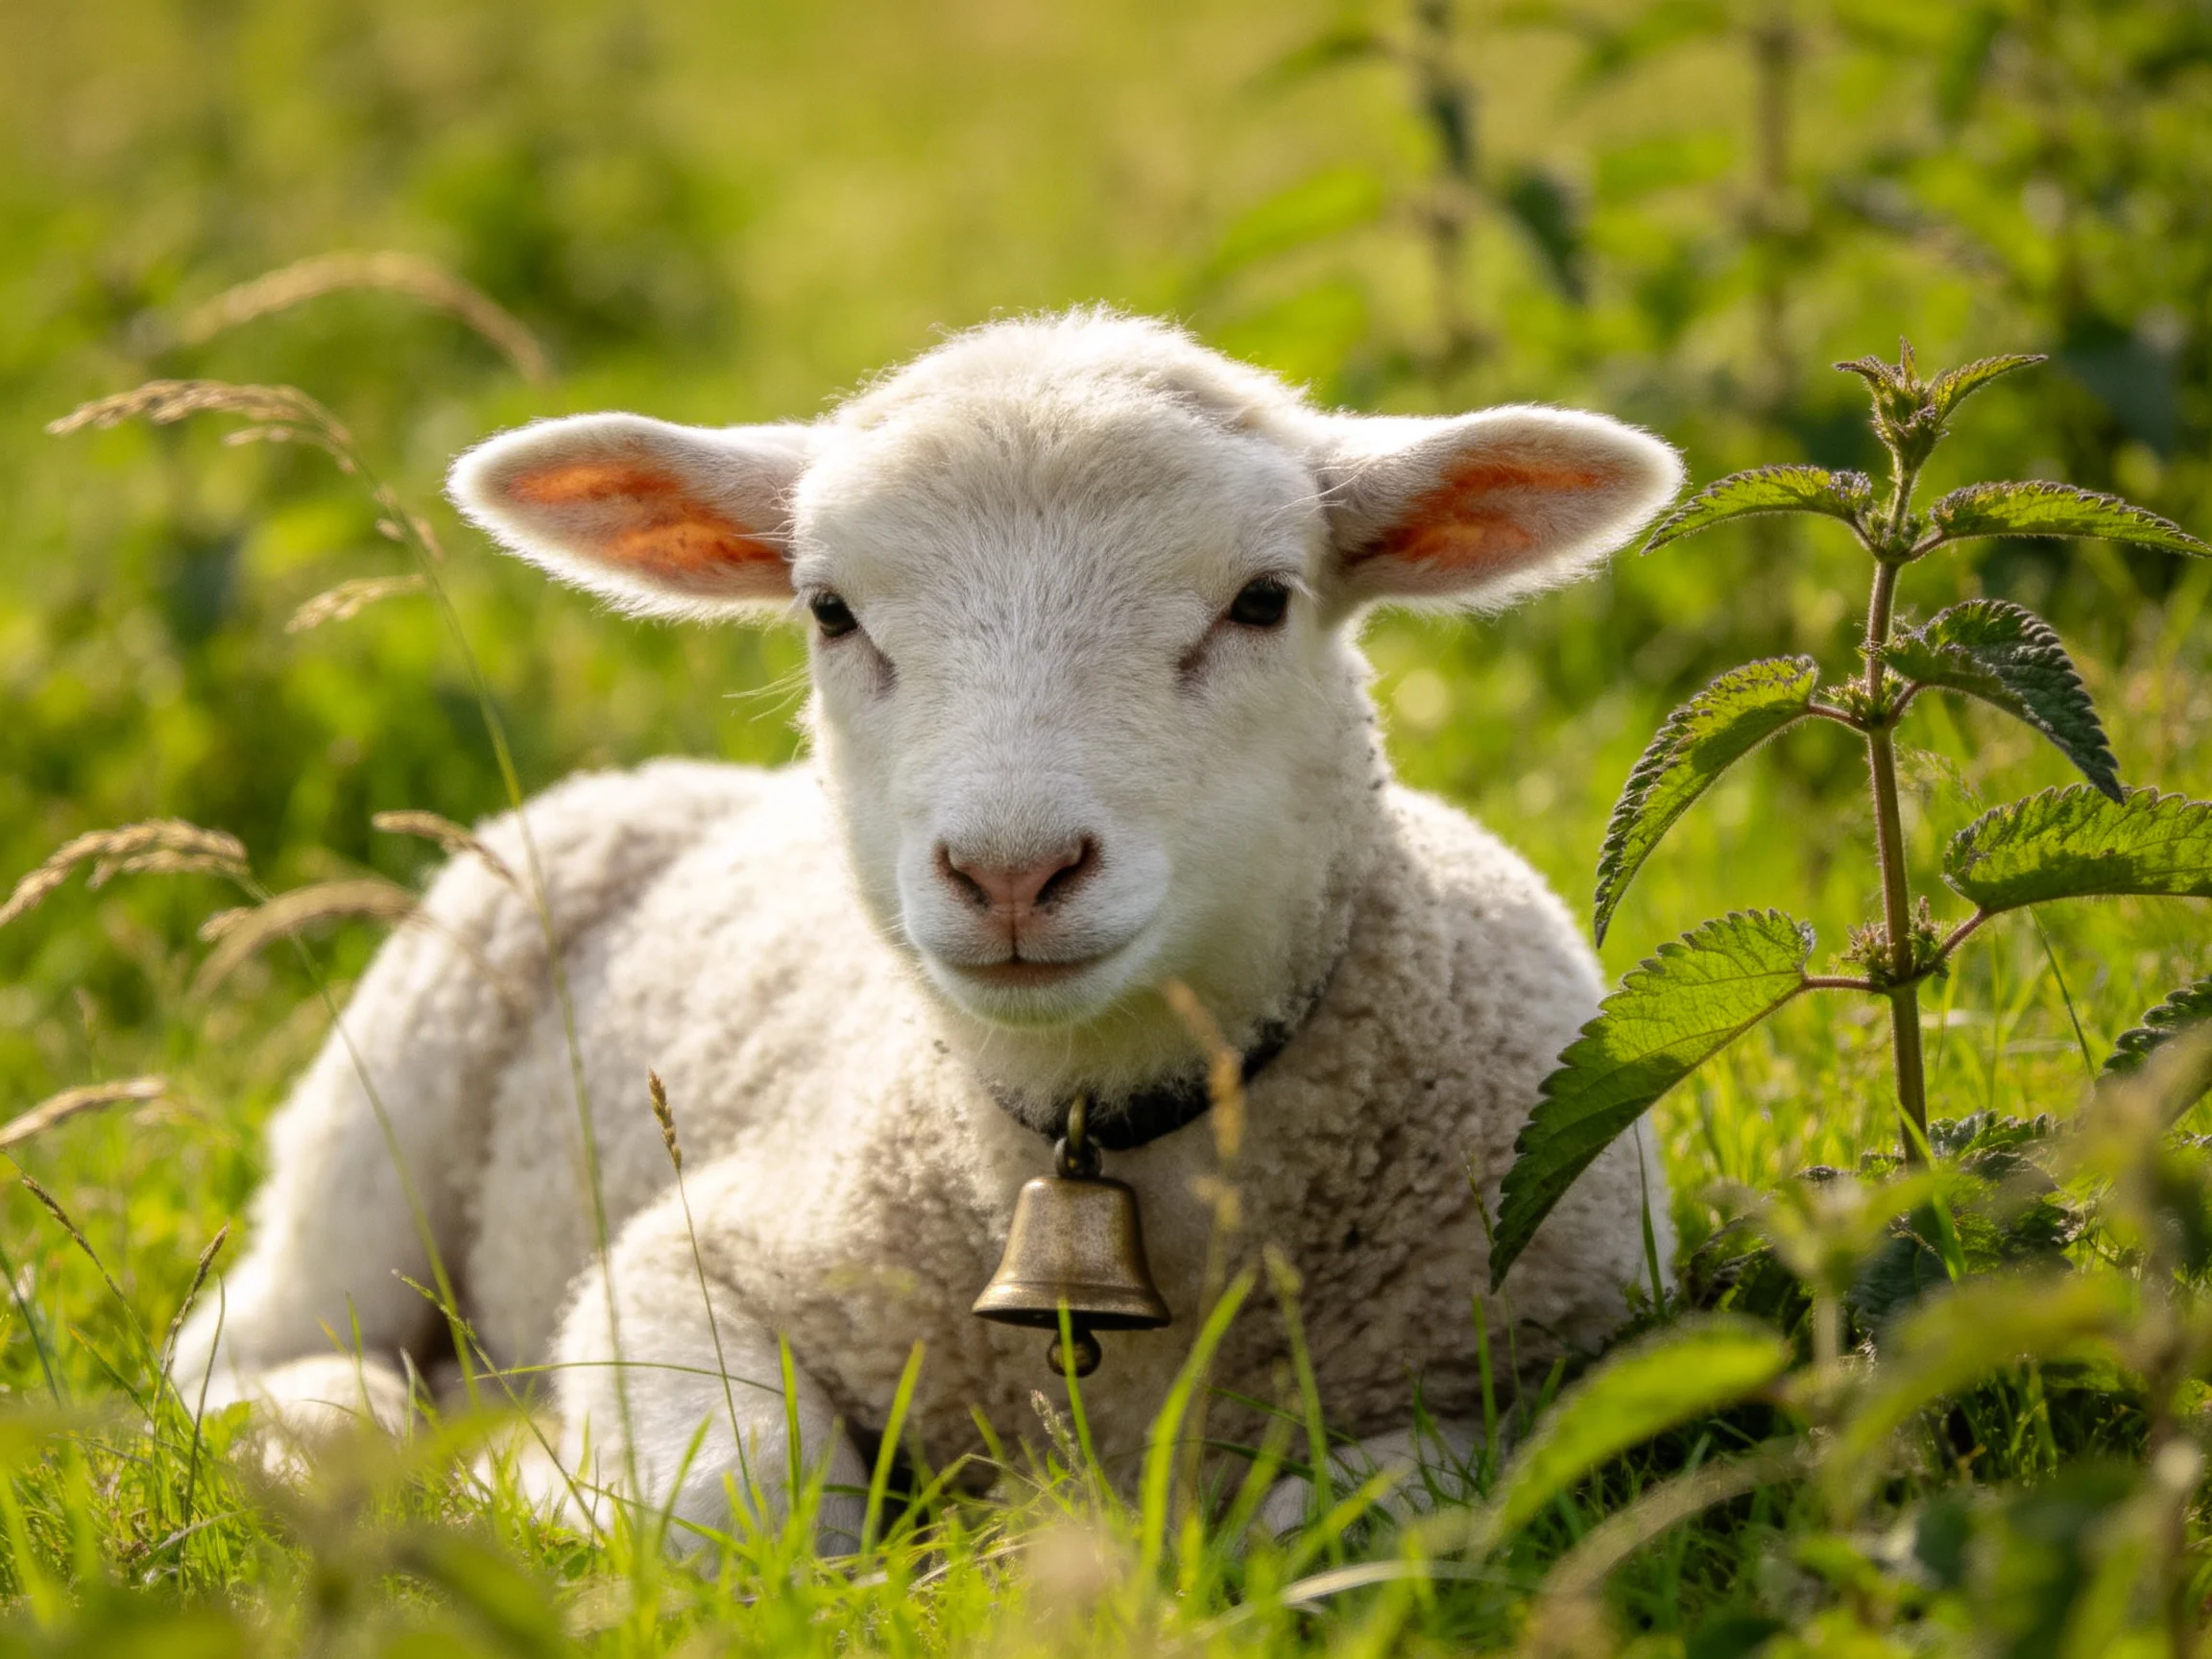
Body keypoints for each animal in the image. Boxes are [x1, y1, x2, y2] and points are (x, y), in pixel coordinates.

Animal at [169, 309, 1683, 1544]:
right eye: (831, 611)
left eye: (1263, 601)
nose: (1011, 872)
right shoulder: (687, 1260)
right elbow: (740, 1508)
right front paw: (543, 1477)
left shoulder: (1571, 1352)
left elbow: (1353, 1516)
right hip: (384, 1104)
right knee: (237, 1353)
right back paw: (344, 1420)